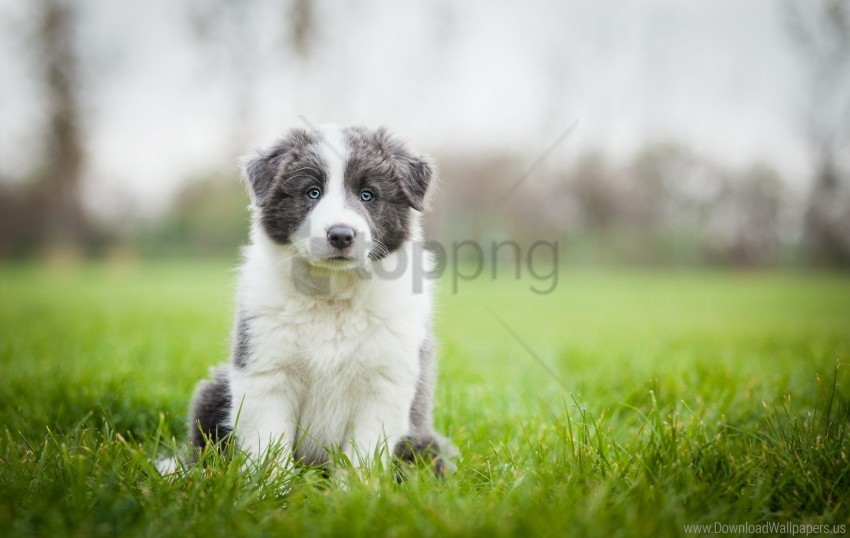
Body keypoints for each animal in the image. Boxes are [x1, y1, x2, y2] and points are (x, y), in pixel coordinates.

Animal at [181, 124, 448, 474]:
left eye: (368, 195)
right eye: (312, 192)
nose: (341, 235)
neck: (332, 295)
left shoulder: (383, 384)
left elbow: (363, 455)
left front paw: (357, 488)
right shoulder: (266, 374)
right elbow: (269, 447)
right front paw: (271, 485)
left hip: (425, 446)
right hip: (214, 393)